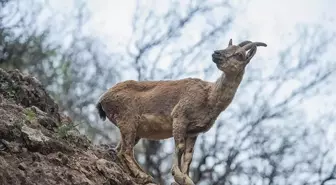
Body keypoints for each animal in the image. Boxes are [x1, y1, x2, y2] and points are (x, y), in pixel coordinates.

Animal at [96, 38, 266, 184]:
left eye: (239, 55)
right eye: (227, 47)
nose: (216, 53)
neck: (209, 97)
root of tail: (103, 99)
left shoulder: (194, 131)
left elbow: (189, 156)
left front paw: (186, 178)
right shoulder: (180, 117)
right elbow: (180, 147)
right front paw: (177, 175)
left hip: (134, 128)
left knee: (120, 150)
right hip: (128, 119)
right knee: (125, 151)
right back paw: (143, 175)